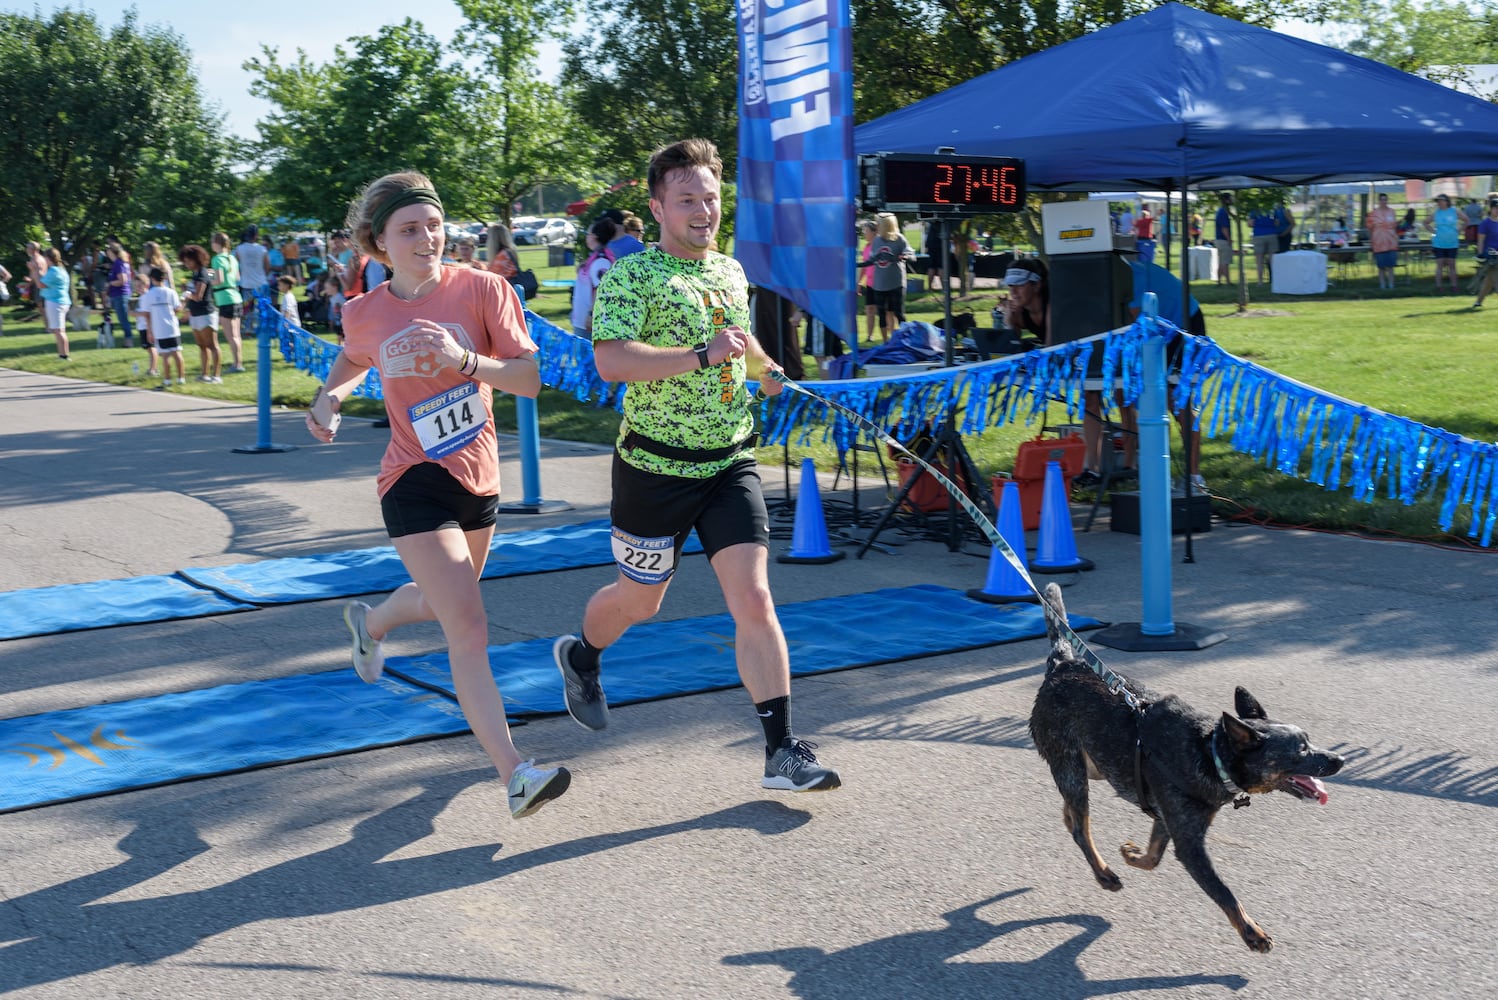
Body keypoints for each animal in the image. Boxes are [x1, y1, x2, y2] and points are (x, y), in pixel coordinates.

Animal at [1030, 580, 1348, 952]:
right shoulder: (1190, 844)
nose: (1339, 759)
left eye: (1309, 740)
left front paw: (1132, 855)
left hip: (1090, 766)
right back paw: (1103, 873)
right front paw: (1252, 932)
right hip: (1072, 768)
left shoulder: (1167, 820)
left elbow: (1153, 858)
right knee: (1081, 826)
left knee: (1071, 816)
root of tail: (1063, 663)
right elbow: (1224, 892)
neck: (1210, 753)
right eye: (1300, 750)